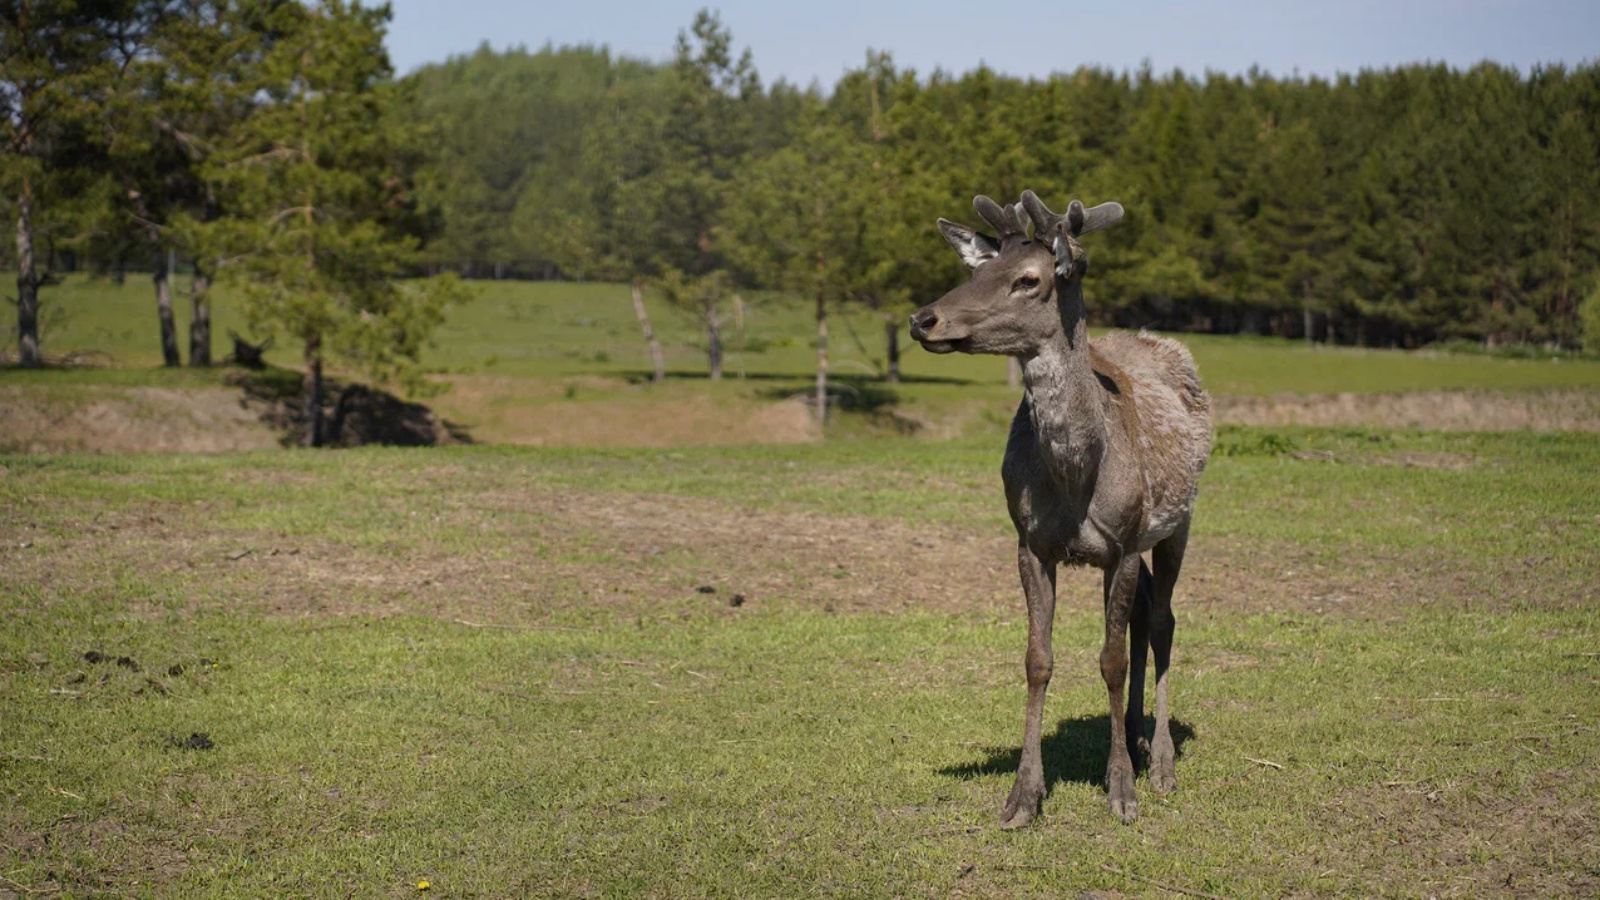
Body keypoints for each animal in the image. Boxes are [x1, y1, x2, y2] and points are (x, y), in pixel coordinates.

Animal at [908, 192, 1203, 826]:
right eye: (977, 271)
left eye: (1028, 279)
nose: (923, 319)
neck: (1076, 475)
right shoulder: (1031, 543)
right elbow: (1037, 659)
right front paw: (1024, 796)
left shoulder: (1122, 542)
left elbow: (1111, 660)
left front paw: (1122, 792)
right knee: (1144, 614)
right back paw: (1137, 738)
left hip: (1178, 522)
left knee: (1163, 619)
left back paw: (1161, 762)